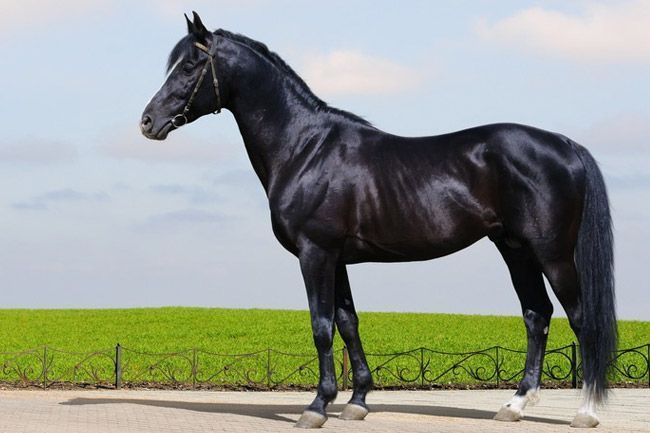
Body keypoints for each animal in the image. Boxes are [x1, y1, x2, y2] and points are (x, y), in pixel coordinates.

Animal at [141, 12, 616, 429]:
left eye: (191, 64)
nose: (148, 122)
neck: (305, 147)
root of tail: (565, 144)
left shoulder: (316, 253)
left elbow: (321, 325)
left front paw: (316, 407)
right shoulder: (338, 259)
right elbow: (348, 323)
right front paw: (356, 402)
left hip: (552, 253)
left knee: (581, 319)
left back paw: (585, 412)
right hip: (515, 249)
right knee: (537, 314)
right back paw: (514, 405)